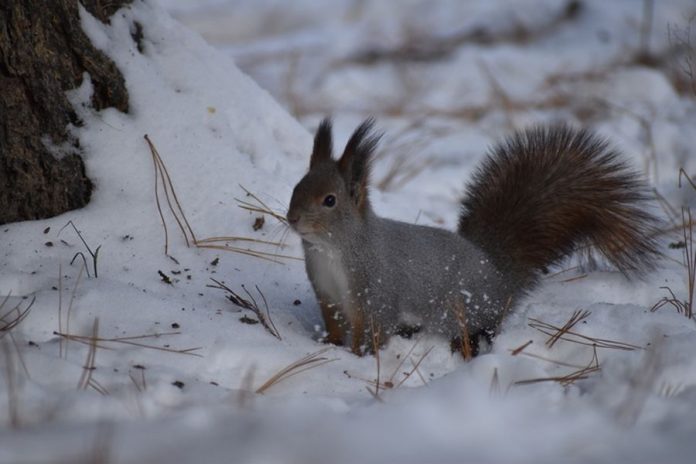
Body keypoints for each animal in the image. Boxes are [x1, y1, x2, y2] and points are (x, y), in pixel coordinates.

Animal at [286, 118, 660, 356]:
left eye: (330, 200)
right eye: (296, 187)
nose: (292, 218)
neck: (332, 250)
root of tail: (498, 274)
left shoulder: (376, 292)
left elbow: (373, 331)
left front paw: (358, 357)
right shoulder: (327, 295)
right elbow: (335, 326)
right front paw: (330, 347)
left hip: (464, 310)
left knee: (478, 332)